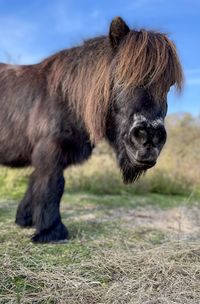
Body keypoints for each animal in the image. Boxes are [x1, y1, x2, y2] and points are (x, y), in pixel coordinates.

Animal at [0, 17, 183, 242]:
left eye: (169, 85)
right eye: (119, 76)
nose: (149, 138)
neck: (66, 97)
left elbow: (35, 183)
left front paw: (26, 220)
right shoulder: (50, 152)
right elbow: (52, 185)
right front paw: (51, 231)